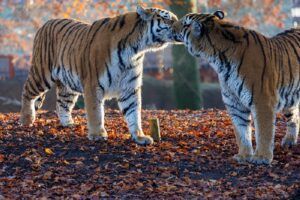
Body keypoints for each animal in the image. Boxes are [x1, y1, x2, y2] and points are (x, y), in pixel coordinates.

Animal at [19, 5, 178, 145]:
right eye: (168, 19)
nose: (181, 26)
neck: (135, 50)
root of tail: (45, 23)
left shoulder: (129, 87)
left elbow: (134, 112)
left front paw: (139, 137)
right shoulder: (93, 84)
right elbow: (95, 112)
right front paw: (98, 135)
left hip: (67, 85)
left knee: (61, 104)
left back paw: (67, 123)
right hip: (41, 74)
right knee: (27, 92)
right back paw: (26, 120)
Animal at [171, 10, 300, 164]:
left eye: (185, 24)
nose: (171, 25)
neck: (219, 60)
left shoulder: (263, 101)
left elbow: (264, 131)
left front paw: (261, 158)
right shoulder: (234, 103)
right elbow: (241, 132)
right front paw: (244, 155)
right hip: (290, 99)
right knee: (295, 117)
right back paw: (289, 141)